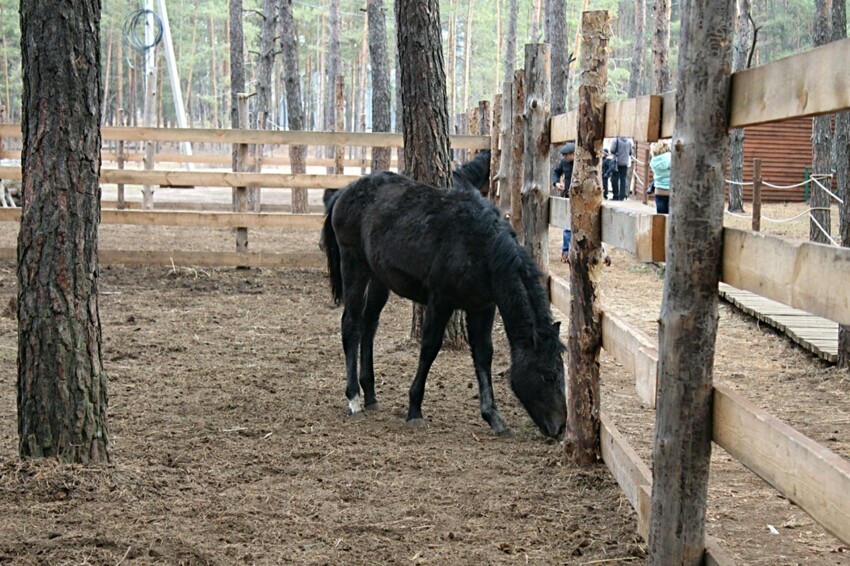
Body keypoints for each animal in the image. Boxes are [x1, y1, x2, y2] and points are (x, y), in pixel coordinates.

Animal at [318, 153, 564, 442]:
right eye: (547, 376)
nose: (560, 428)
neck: (481, 248)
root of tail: (344, 192)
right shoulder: (440, 302)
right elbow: (429, 348)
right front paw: (414, 409)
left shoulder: (482, 307)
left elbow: (484, 354)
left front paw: (493, 416)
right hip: (353, 265)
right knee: (352, 325)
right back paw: (354, 398)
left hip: (379, 278)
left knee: (369, 325)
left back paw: (370, 394)